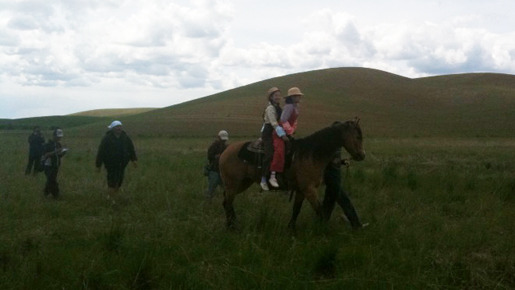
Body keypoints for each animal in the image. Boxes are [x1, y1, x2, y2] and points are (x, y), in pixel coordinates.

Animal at [219, 117, 366, 229]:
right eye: (358, 136)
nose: (362, 155)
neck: (310, 154)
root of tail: (225, 151)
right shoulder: (309, 189)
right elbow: (320, 211)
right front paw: (324, 230)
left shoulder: (301, 190)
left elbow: (296, 209)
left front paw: (291, 229)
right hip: (233, 184)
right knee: (228, 203)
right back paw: (232, 227)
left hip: (242, 183)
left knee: (227, 202)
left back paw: (232, 224)